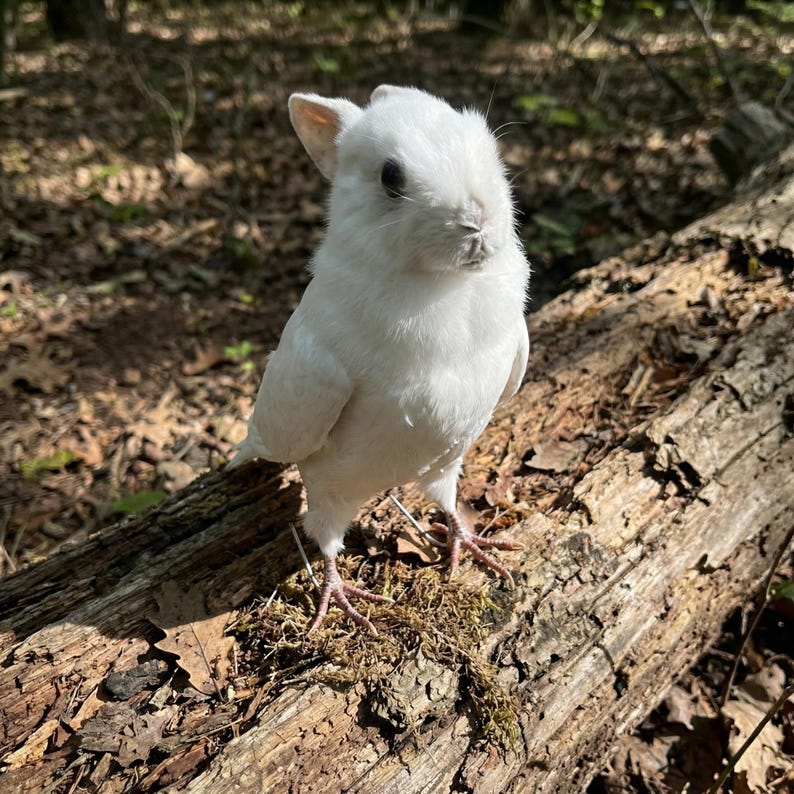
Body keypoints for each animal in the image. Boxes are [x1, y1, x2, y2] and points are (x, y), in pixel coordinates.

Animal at [229, 84, 530, 635]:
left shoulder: (448, 457)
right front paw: (338, 599)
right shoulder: (325, 478)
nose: (477, 219)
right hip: (294, 451)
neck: (443, 292)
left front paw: (471, 544)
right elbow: (327, 545)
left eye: (489, 149)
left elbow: (450, 508)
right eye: (391, 177)